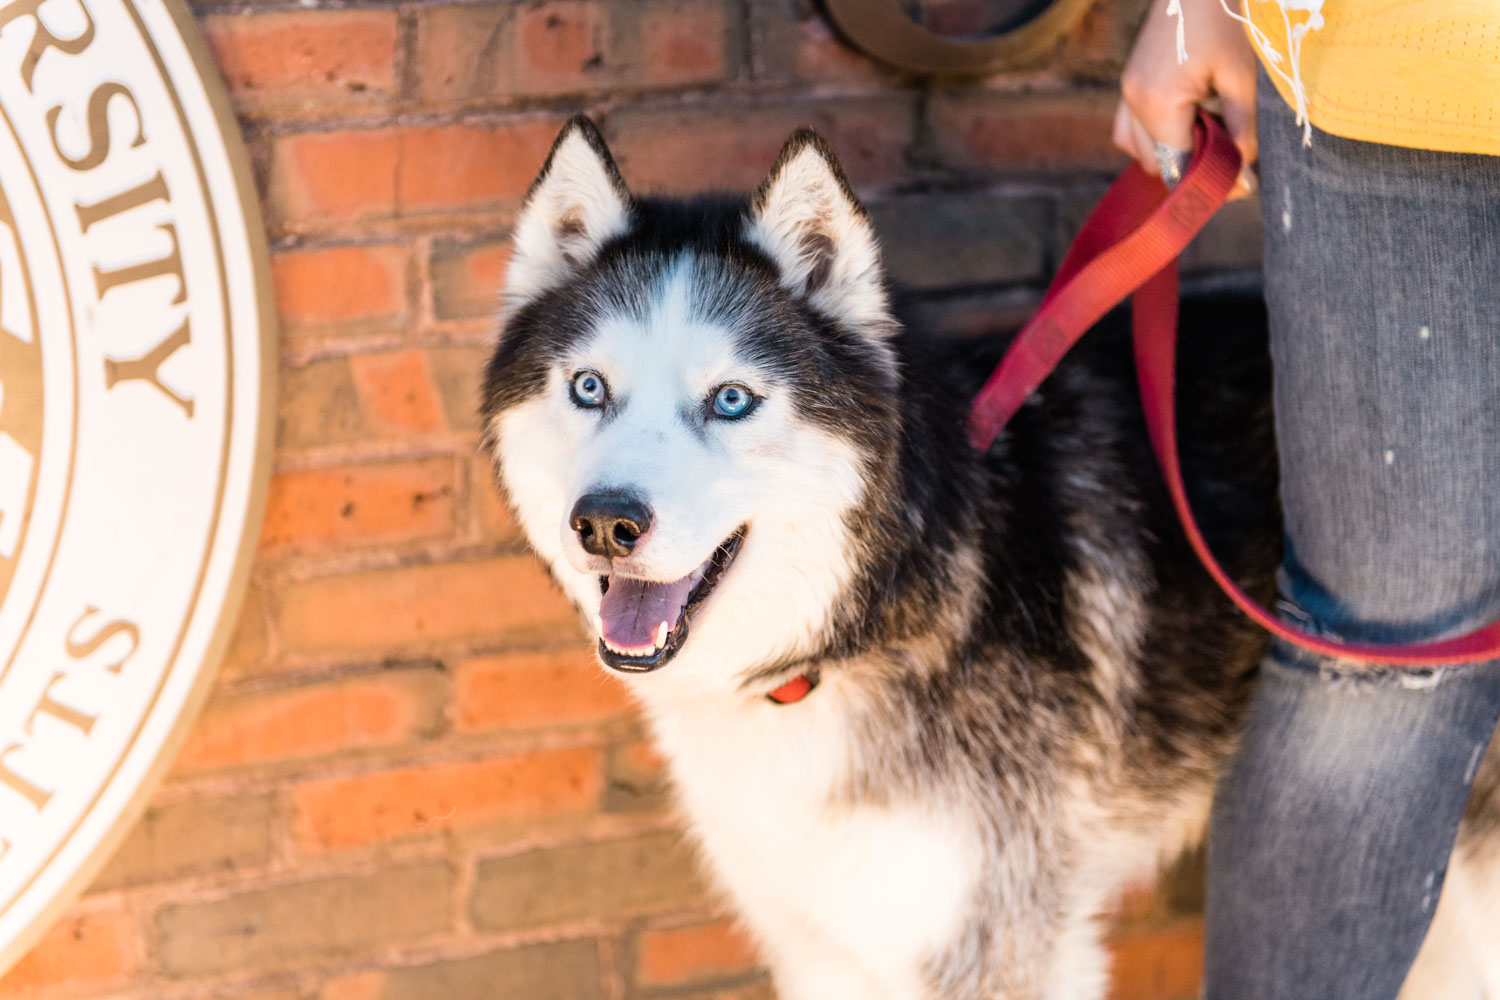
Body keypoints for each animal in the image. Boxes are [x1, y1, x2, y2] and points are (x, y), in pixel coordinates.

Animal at [483, 119, 1500, 1000]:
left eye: (731, 400)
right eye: (589, 388)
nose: (605, 523)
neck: (856, 631)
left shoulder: (995, 941)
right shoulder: (823, 940)